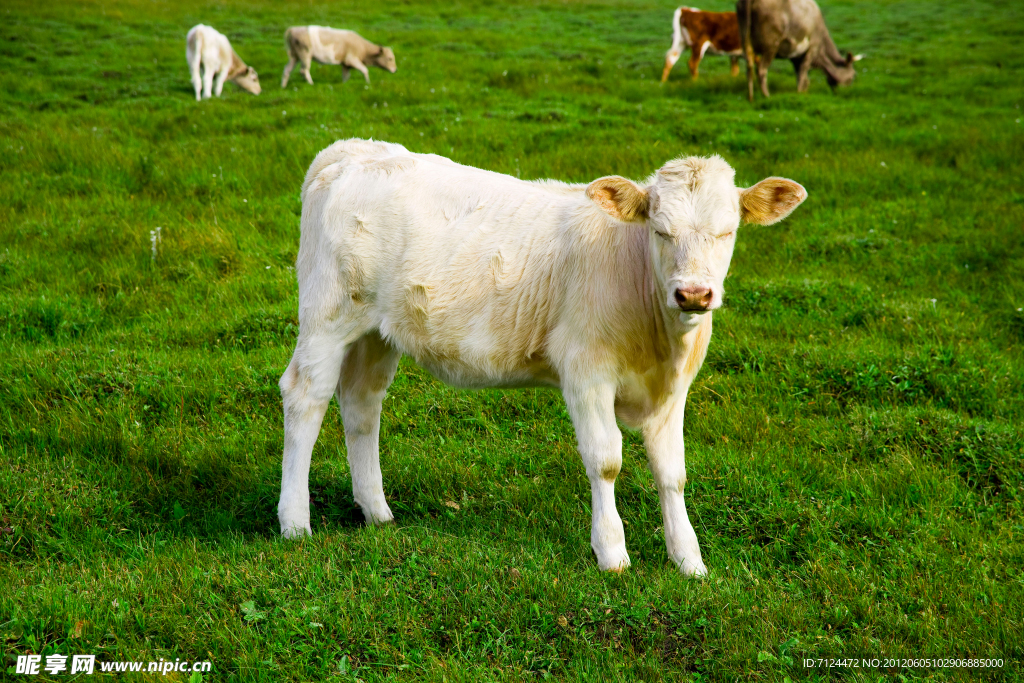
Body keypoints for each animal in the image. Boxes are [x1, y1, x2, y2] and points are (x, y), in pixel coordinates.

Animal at [280, 139, 806, 577]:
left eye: (728, 232)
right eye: (660, 231)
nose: (694, 293)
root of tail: (351, 150)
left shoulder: (673, 391)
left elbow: (672, 473)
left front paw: (688, 558)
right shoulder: (586, 373)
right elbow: (606, 460)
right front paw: (612, 553)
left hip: (376, 333)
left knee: (362, 405)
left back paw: (377, 512)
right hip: (328, 315)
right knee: (306, 397)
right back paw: (295, 522)